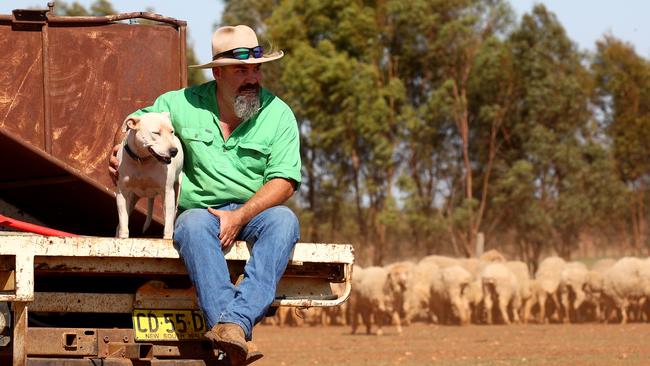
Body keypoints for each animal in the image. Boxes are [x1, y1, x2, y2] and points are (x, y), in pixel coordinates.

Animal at [115, 112, 182, 240]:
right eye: (156, 133)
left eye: (172, 131)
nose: (174, 151)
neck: (143, 161)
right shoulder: (122, 193)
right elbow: (123, 220)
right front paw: (123, 238)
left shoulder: (168, 192)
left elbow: (168, 224)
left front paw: (167, 239)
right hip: (132, 198)